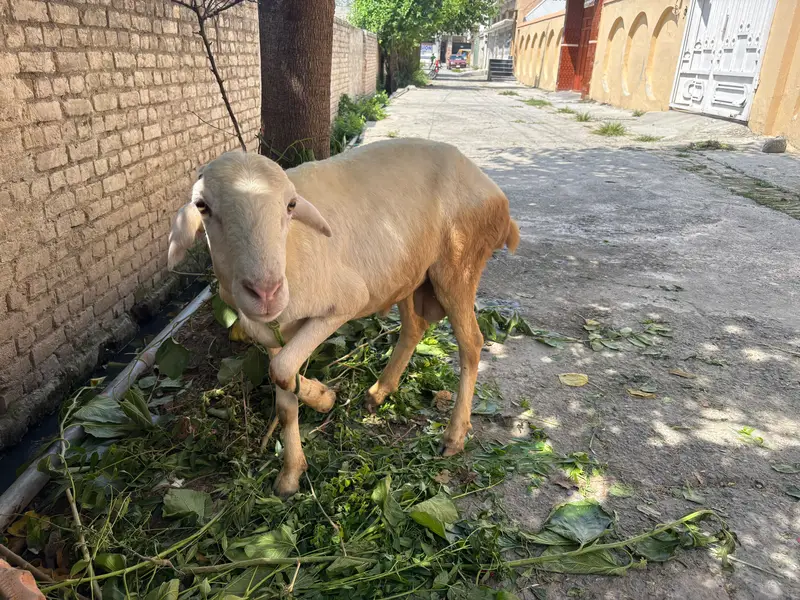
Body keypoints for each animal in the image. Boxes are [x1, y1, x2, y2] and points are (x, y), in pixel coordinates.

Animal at [167, 138, 520, 497]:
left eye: (291, 205)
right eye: (202, 206)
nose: (265, 292)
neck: (290, 252)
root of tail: (491, 187)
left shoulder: (344, 303)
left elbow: (282, 370)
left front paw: (325, 399)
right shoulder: (269, 332)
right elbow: (284, 396)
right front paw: (291, 473)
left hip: (458, 265)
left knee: (471, 343)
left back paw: (454, 434)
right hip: (407, 273)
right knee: (414, 327)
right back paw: (379, 391)